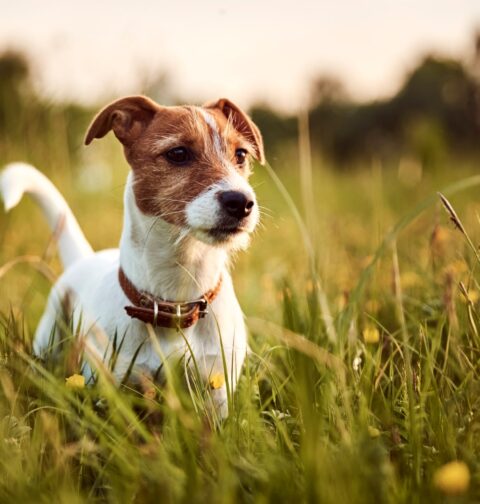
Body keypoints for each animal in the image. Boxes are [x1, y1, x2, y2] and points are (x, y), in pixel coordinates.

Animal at [0, 94, 264, 418]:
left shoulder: (217, 390)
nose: (241, 202)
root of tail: (84, 257)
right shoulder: (113, 387)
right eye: (178, 153)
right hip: (49, 337)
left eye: (241, 154)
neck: (176, 301)